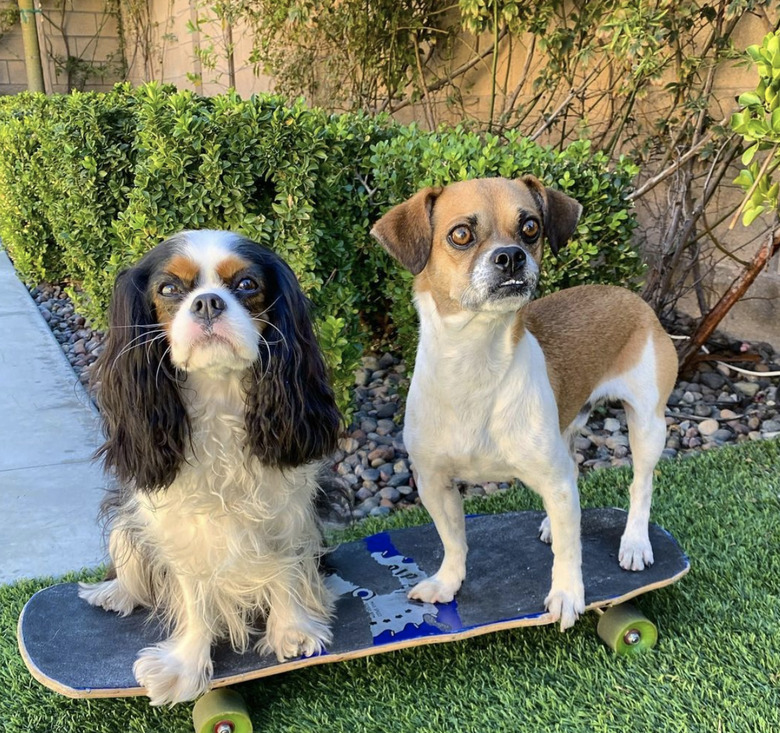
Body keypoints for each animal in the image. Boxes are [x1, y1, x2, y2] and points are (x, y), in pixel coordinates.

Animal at [372, 177, 676, 628]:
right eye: (460, 234)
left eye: (530, 227)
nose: (511, 256)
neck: (475, 363)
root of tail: (631, 296)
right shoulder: (433, 483)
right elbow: (453, 541)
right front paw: (447, 582)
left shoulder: (554, 479)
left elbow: (569, 551)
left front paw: (567, 595)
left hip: (647, 425)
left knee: (641, 484)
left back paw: (635, 542)